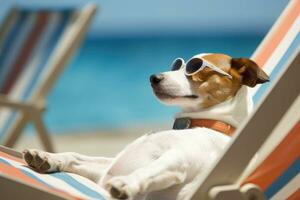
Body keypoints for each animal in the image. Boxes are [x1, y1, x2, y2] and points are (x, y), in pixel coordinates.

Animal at [22, 52, 268, 199]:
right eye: (177, 65)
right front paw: (48, 158)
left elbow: (148, 171)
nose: (153, 77)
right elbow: (75, 156)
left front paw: (127, 183)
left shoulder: (177, 161)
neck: (198, 123)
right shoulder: (105, 168)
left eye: (195, 68)